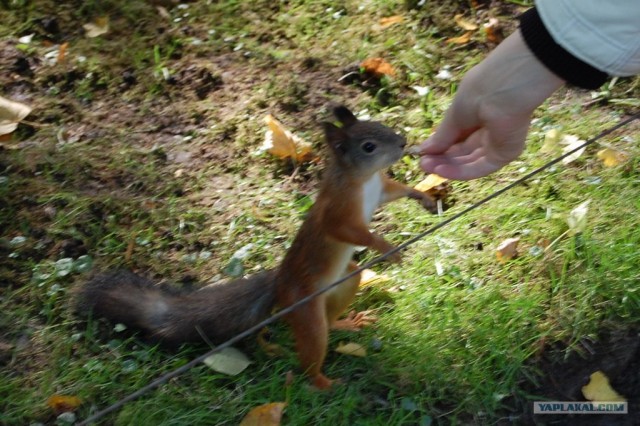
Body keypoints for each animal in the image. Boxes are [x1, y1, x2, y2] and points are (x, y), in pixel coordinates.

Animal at [74, 105, 436, 388]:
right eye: (369, 146)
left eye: (379, 124)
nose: (403, 143)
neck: (362, 180)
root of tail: (280, 284)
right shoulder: (338, 211)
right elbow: (346, 230)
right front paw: (385, 245)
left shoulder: (380, 189)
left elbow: (393, 190)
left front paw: (421, 195)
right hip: (304, 309)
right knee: (313, 346)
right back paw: (322, 382)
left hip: (345, 281)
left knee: (336, 310)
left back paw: (345, 323)